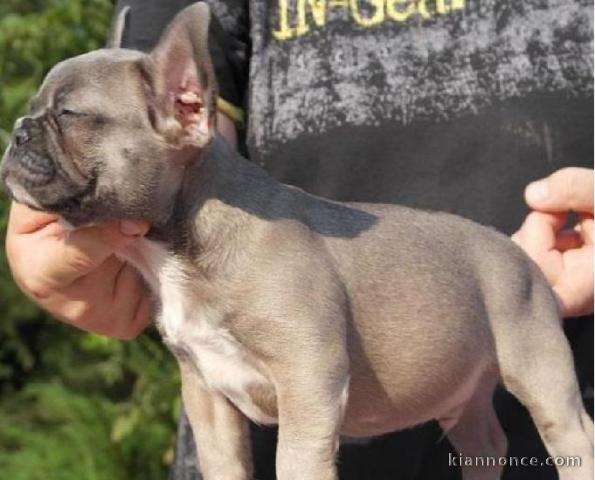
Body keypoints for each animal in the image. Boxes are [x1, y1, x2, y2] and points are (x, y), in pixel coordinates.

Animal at [2, 3, 592, 480]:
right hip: (460, 392)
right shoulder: (207, 396)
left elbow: (297, 461)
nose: (16, 129)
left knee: (571, 435)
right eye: (36, 108)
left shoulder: (309, 379)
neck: (180, 249)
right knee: (484, 441)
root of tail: (519, 254)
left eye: (68, 114)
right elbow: (224, 467)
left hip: (538, 364)